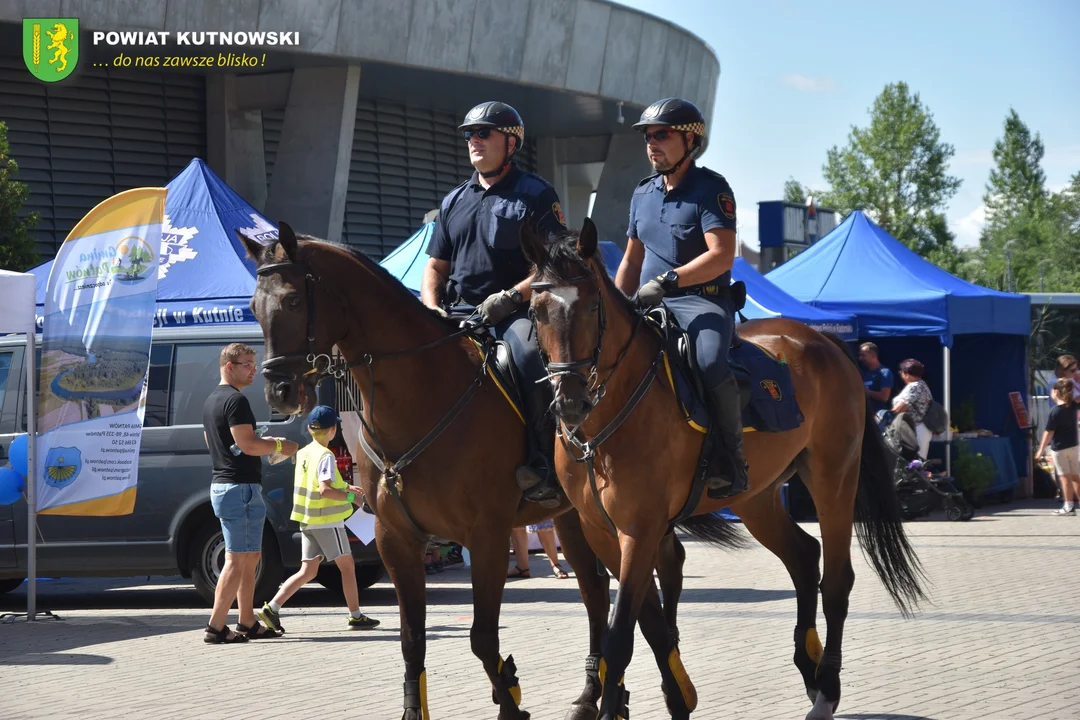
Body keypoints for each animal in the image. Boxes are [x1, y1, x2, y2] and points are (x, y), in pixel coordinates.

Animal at [237, 222, 743, 716]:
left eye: (294, 300)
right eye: (253, 306)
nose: (280, 391)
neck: (423, 395)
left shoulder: (487, 535)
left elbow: (482, 637)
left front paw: (511, 701)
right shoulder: (395, 538)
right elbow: (412, 641)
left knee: (652, 571)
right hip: (576, 517)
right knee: (598, 590)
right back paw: (593, 693)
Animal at [518, 220, 924, 720]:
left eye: (593, 305)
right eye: (536, 311)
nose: (571, 401)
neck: (605, 425)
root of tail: (823, 340)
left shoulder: (640, 528)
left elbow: (620, 634)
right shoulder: (602, 530)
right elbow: (647, 622)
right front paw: (676, 696)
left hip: (834, 479)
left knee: (836, 581)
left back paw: (826, 690)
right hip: (758, 498)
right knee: (803, 556)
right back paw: (809, 669)